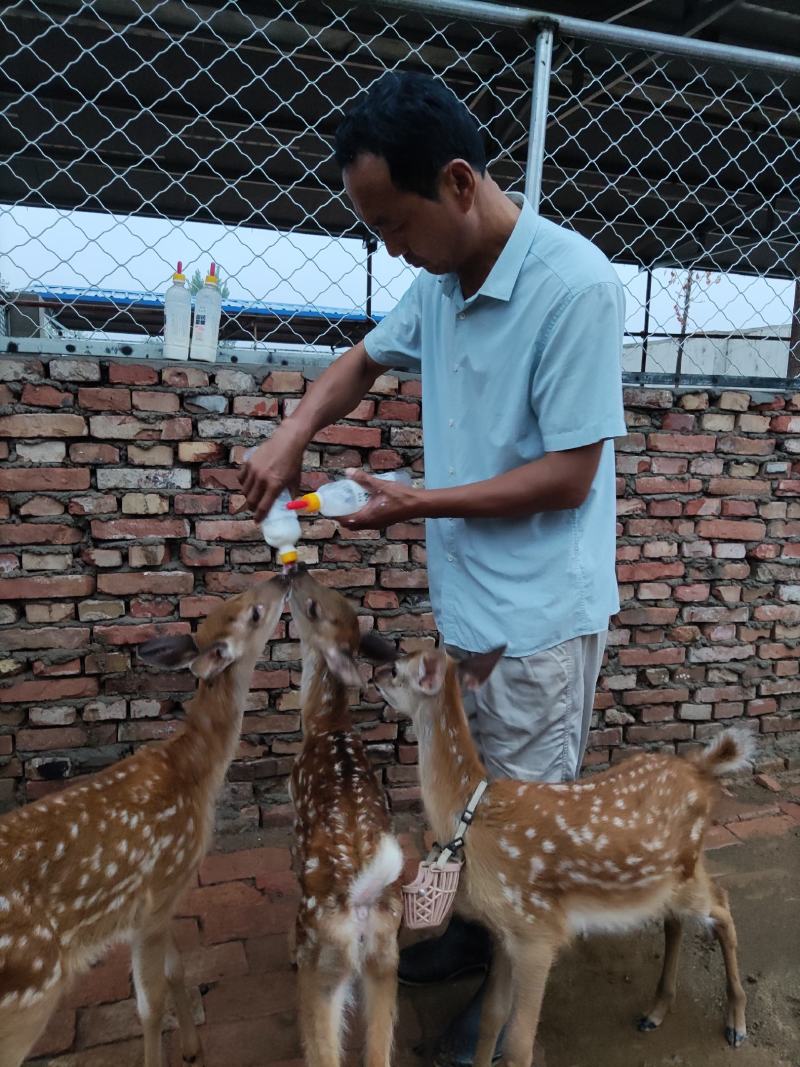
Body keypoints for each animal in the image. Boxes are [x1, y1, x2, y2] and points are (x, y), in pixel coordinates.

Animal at [0, 575, 288, 1067]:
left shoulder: (160, 901)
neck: (191, 773)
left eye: (234, 599)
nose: (286, 577)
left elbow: (176, 971)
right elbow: (149, 1004)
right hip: (29, 993)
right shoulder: (159, 889)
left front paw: (192, 1049)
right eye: (252, 612)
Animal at [373, 643, 752, 1067]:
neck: (473, 816)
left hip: (685, 871)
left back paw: (736, 1023)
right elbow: (491, 1018)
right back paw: (655, 1011)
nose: (373, 673)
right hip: (665, 880)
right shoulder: (507, 931)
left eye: (395, 669)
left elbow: (519, 1044)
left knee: (722, 906)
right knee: (678, 919)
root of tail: (700, 769)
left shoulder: (538, 929)